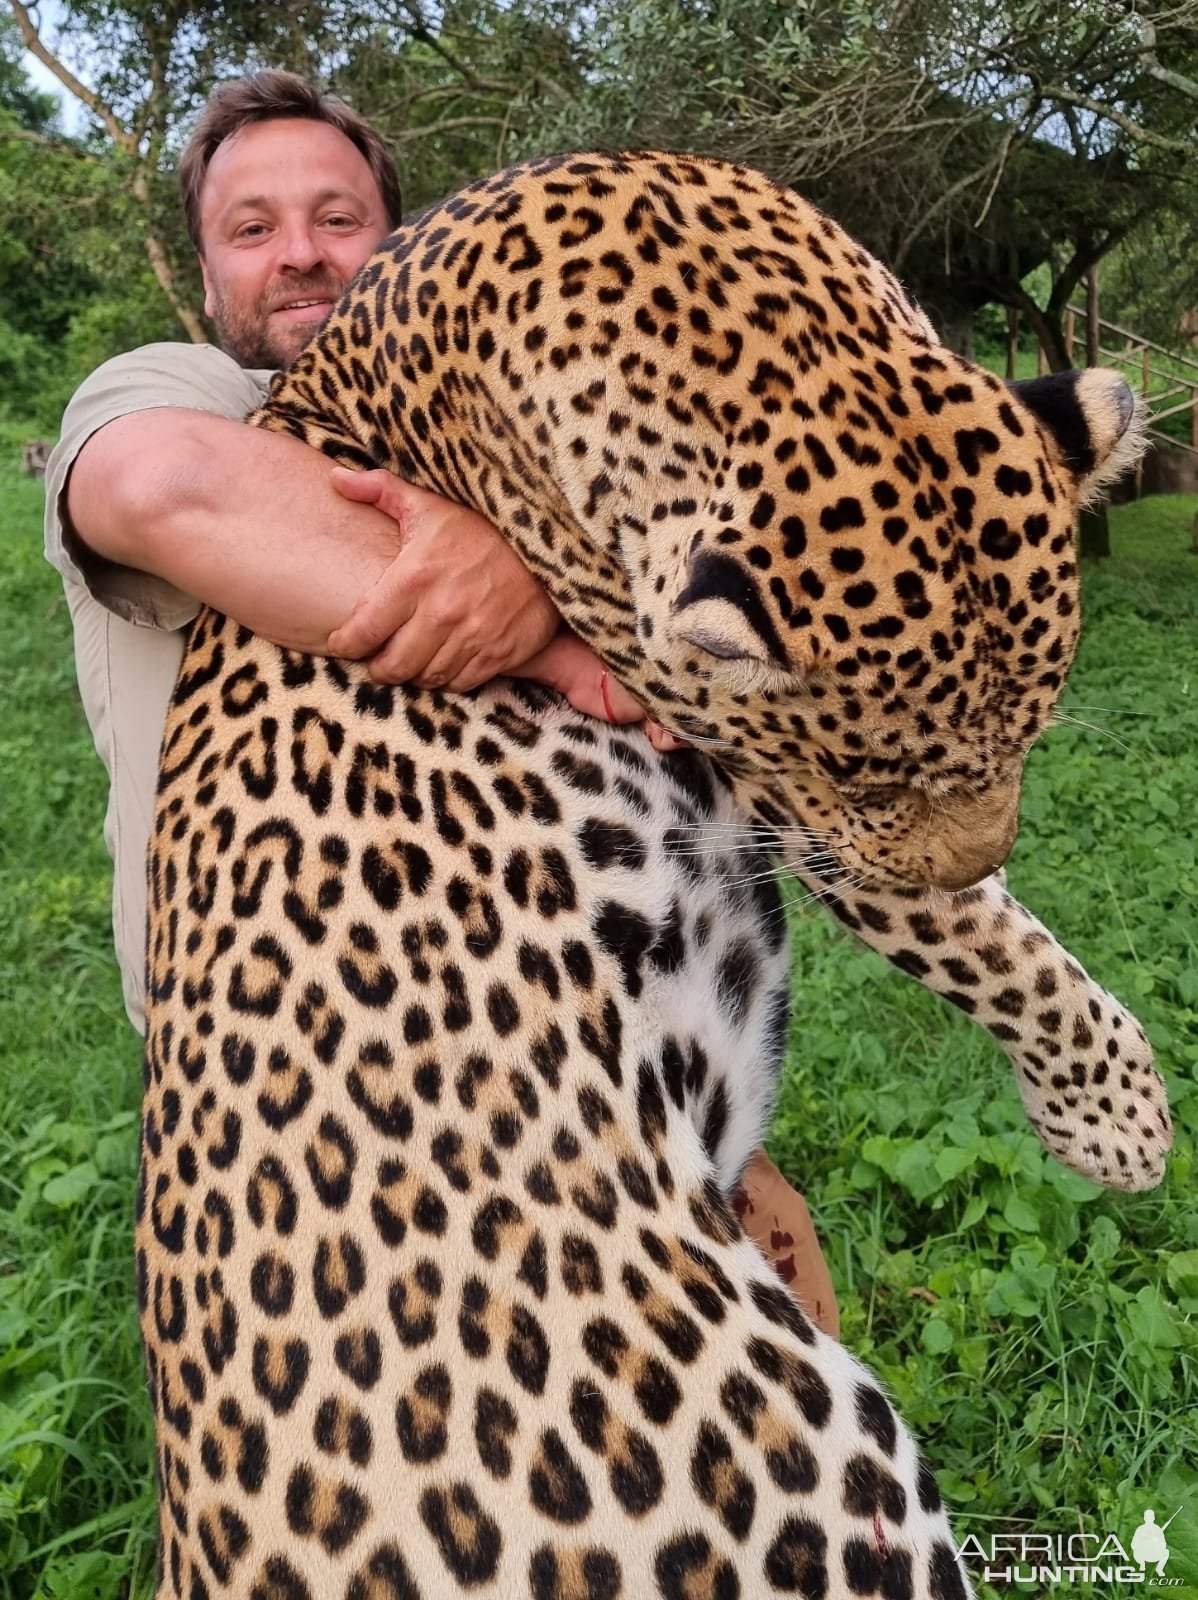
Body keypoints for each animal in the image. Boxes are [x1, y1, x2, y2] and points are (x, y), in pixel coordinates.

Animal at [137, 150, 1170, 1600]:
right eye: (864, 774)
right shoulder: (748, 765)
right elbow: (968, 933)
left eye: (1030, 731)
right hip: (805, 1459)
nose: (987, 843)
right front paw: (1115, 1117)